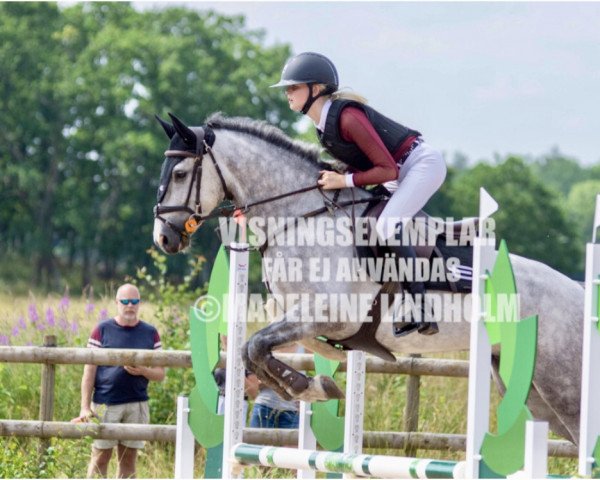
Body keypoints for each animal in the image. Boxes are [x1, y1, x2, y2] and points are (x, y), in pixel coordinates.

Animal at [152, 111, 584, 442]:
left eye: (180, 173)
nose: (164, 237)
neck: (302, 217)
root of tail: (577, 293)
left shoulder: (327, 314)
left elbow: (255, 346)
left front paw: (309, 387)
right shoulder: (303, 318)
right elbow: (255, 349)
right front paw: (310, 383)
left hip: (562, 383)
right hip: (526, 386)